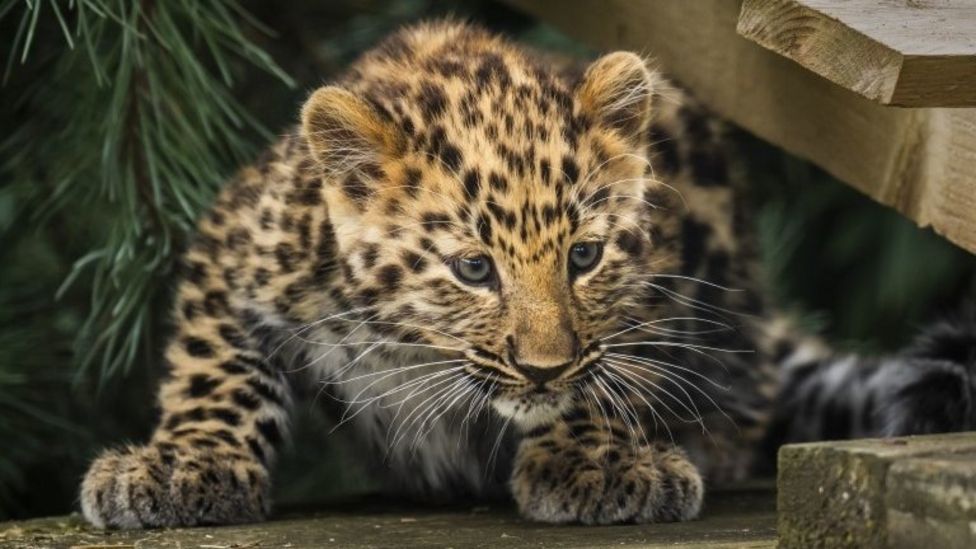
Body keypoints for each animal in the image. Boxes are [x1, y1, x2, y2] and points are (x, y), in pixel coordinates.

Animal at [80, 20, 976, 528]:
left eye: (584, 256)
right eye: (473, 268)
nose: (542, 367)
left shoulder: (656, 275)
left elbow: (618, 370)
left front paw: (595, 461)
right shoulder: (236, 242)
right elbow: (215, 371)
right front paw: (184, 463)